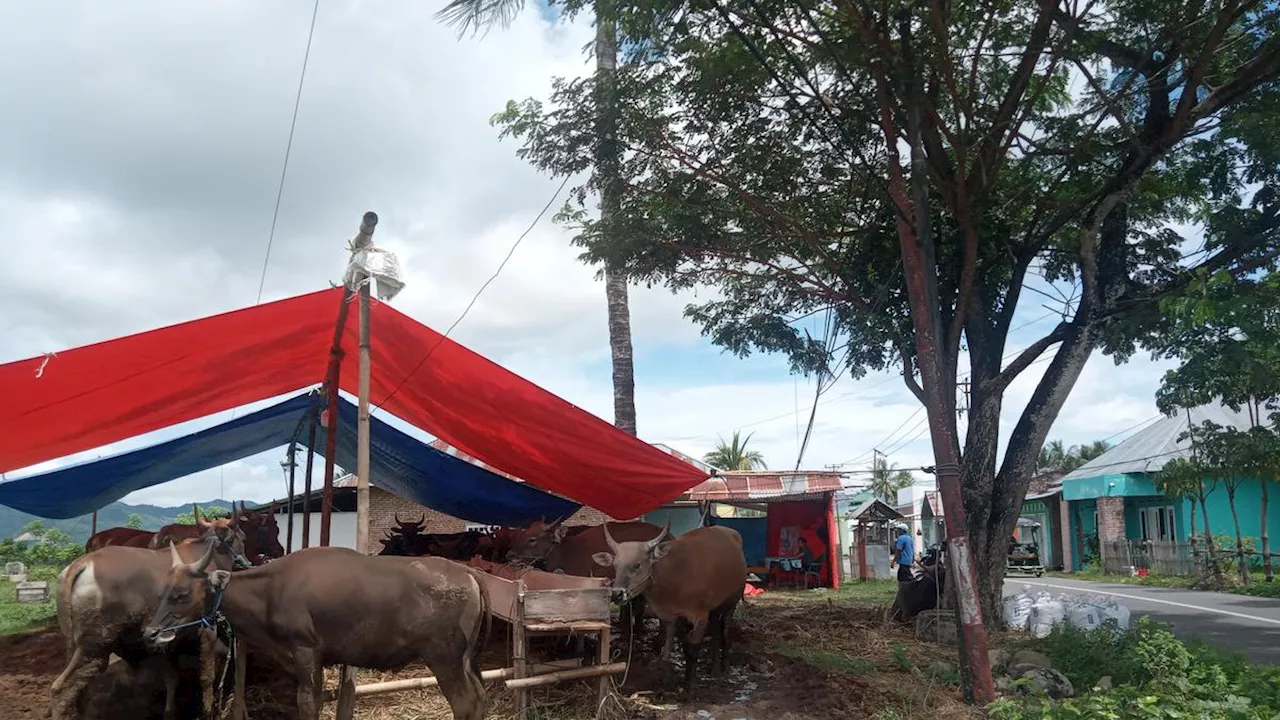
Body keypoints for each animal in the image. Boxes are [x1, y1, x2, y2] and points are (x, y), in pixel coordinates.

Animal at [51, 527, 249, 717]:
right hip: (95, 649)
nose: (246, 562)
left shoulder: (170, 640)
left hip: (73, 645)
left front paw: (169, 710)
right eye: (242, 538)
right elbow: (207, 677)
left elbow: (172, 679)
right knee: (60, 688)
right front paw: (209, 709)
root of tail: (82, 564)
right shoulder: (207, 630)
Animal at [145, 543, 491, 717]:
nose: (150, 632)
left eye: (181, 594)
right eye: (163, 590)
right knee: (479, 697)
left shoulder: (304, 651)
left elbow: (306, 703)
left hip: (444, 659)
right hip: (465, 661)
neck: (271, 590)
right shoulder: (319, 659)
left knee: (465, 703)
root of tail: (468, 574)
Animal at [591, 517, 747, 691]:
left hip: (731, 602)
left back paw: (724, 666)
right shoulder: (671, 616)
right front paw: (665, 676)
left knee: (724, 632)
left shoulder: (700, 616)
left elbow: (692, 649)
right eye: (615, 565)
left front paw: (689, 685)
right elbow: (669, 645)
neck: (676, 576)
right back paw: (714, 667)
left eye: (637, 564)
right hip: (714, 610)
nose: (617, 593)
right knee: (715, 632)